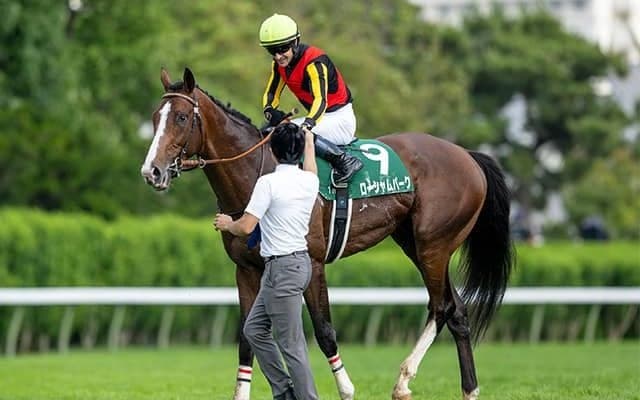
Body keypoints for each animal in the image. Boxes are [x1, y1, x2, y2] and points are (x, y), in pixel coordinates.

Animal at [141, 68, 514, 400]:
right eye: (156, 117)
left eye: (181, 118)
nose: (151, 171)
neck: (260, 174)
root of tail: (467, 154)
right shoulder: (246, 269)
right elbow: (247, 340)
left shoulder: (313, 262)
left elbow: (324, 331)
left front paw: (346, 389)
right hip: (415, 242)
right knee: (458, 310)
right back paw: (468, 389)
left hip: (433, 245)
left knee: (441, 307)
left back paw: (403, 381)